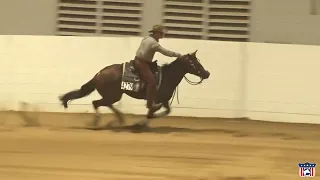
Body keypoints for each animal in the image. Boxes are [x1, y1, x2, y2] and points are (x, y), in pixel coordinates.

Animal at [59, 50, 211, 127]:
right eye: (195, 63)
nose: (207, 73)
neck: (167, 76)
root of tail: (99, 73)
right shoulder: (157, 99)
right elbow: (153, 111)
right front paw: (141, 122)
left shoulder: (164, 100)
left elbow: (165, 111)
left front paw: (145, 121)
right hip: (114, 95)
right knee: (97, 103)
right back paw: (98, 122)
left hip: (113, 95)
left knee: (103, 103)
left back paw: (119, 120)